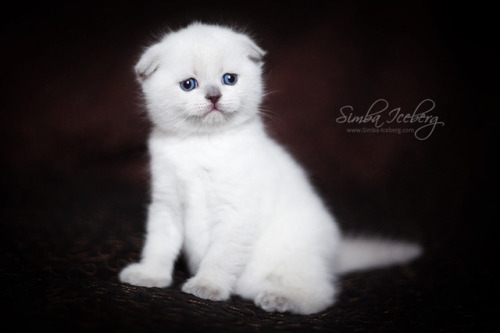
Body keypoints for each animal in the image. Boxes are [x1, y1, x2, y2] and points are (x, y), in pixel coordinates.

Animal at [120, 23, 422, 314]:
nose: (214, 96)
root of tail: (335, 256)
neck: (202, 143)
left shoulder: (236, 212)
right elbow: (159, 245)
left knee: (321, 295)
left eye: (229, 79)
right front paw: (149, 277)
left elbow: (220, 257)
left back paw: (278, 300)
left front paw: (206, 287)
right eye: (188, 85)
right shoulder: (167, 205)